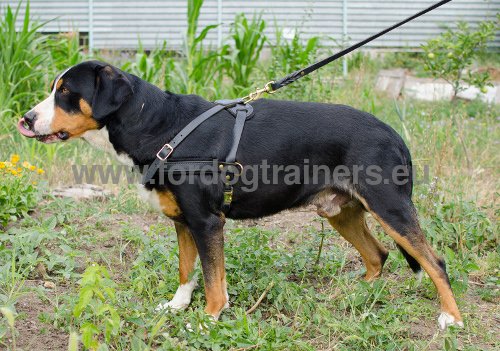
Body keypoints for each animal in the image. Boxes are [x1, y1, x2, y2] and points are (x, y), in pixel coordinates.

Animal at [18, 61, 464, 330]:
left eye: (65, 92)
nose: (25, 119)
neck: (159, 126)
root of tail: (393, 133)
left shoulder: (206, 221)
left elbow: (214, 280)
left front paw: (207, 319)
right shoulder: (184, 221)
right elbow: (187, 270)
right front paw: (177, 306)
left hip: (390, 206)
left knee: (435, 262)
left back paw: (451, 319)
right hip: (341, 212)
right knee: (378, 255)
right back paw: (360, 294)